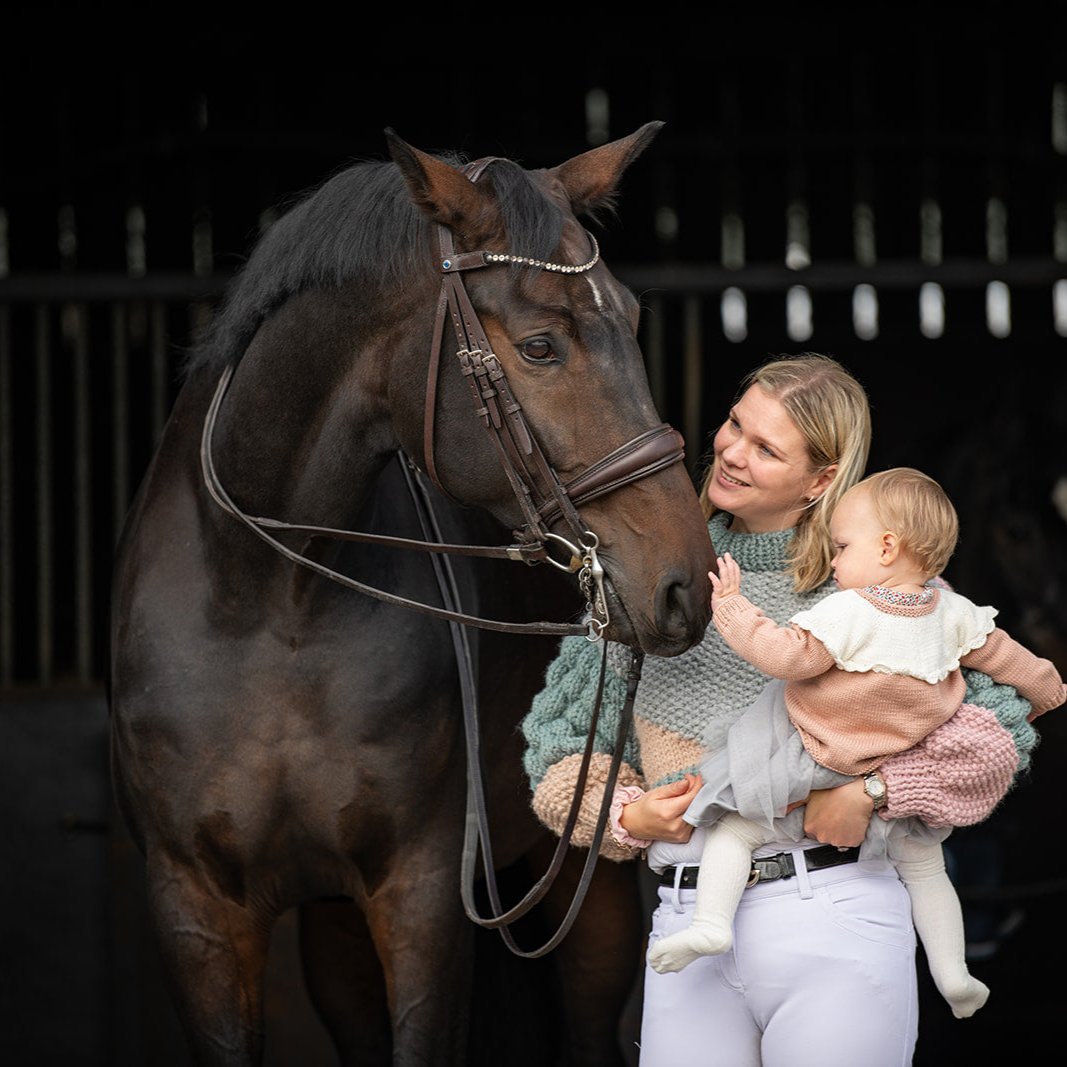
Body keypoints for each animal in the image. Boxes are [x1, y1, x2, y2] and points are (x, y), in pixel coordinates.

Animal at [110, 126, 717, 1067]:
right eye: (540, 346)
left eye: (633, 317)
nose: (685, 582)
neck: (268, 604)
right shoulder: (195, 909)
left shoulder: (422, 896)